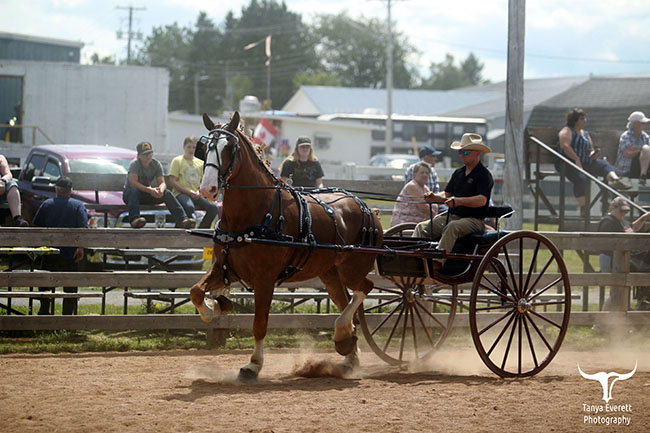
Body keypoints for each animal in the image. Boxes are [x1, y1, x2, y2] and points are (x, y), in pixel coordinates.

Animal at [189, 112, 383, 380]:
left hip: (352, 270)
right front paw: (217, 306)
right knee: (347, 303)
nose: (207, 189)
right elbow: (196, 292)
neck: (254, 213)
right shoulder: (223, 267)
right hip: (330, 274)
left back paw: (342, 334)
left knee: (364, 288)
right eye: (205, 147)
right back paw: (348, 353)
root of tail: (367, 207)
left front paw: (253, 365)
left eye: (229, 148)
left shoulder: (265, 278)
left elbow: (260, 324)